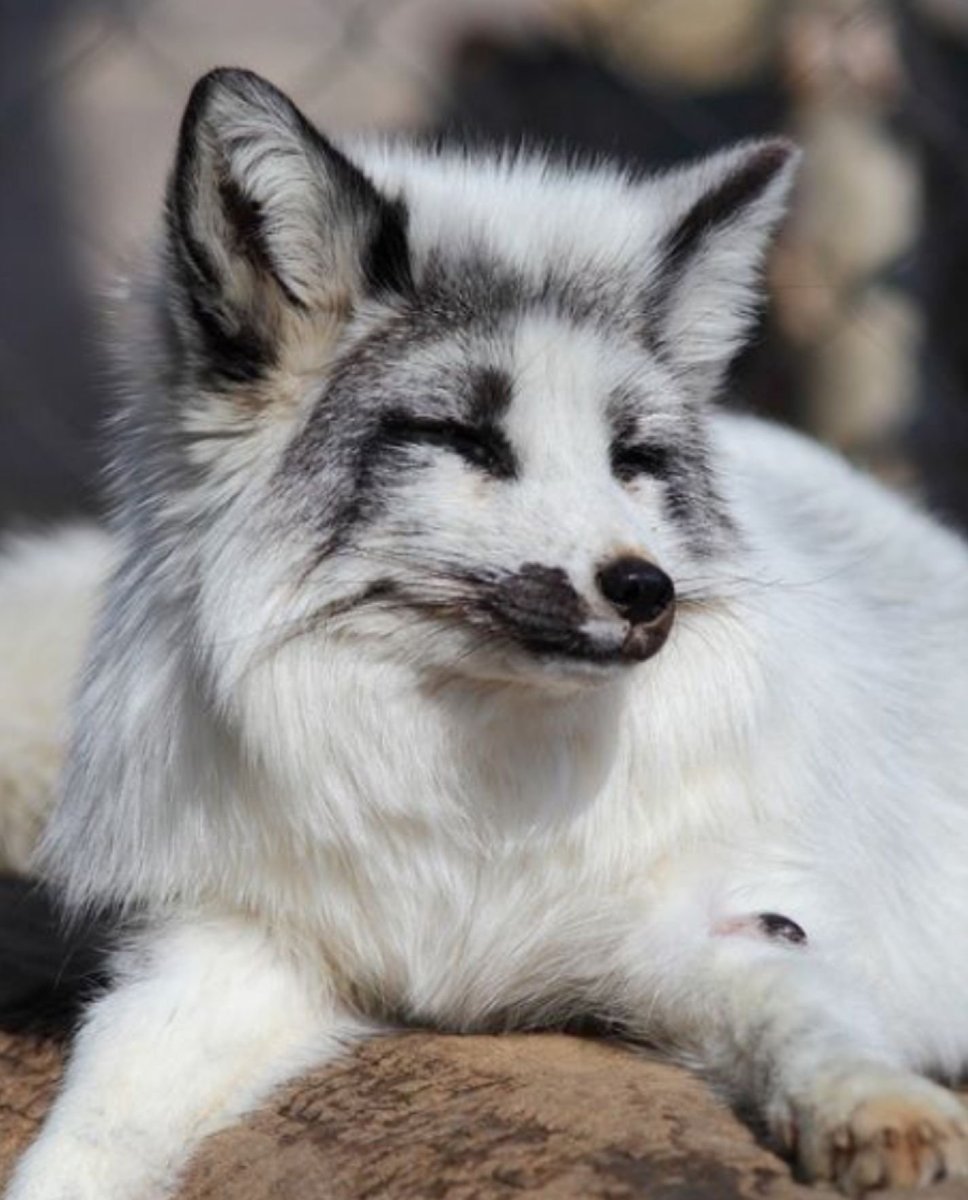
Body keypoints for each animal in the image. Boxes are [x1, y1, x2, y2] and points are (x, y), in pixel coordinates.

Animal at [3, 66, 968, 1199]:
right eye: (466, 439)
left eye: (632, 458)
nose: (646, 590)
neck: (471, 795)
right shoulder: (239, 939)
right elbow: (104, 1106)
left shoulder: (718, 916)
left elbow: (802, 1009)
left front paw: (880, 1109)